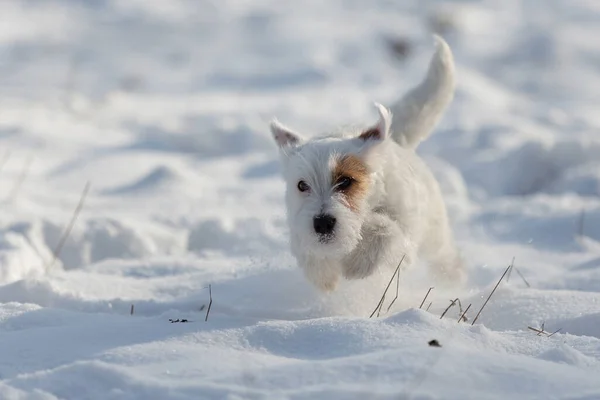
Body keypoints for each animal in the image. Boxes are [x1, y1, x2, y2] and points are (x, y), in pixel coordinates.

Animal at [270, 36, 464, 290]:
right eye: (302, 185)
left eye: (346, 181)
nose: (322, 224)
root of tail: (395, 138)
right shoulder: (299, 226)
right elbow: (309, 250)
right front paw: (323, 273)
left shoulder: (403, 234)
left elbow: (386, 230)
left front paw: (358, 264)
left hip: (435, 232)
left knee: (443, 255)